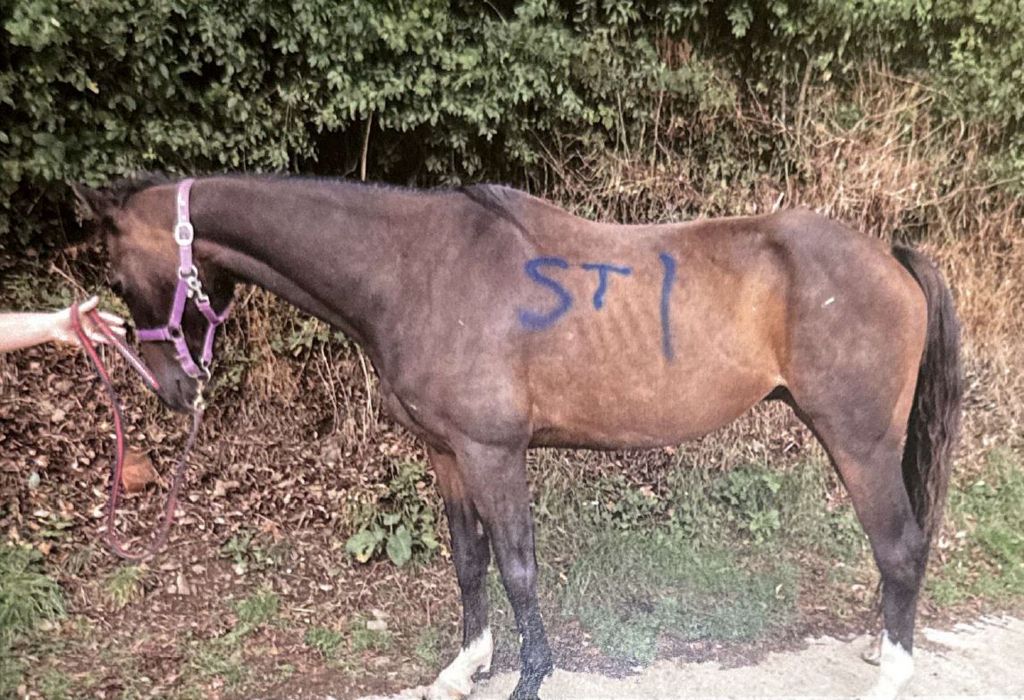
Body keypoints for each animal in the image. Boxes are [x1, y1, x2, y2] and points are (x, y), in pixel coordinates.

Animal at [72, 176, 958, 700]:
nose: (172, 388)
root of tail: (889, 256)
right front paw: (464, 669)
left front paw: (529, 680)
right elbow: (469, 564)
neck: (415, 269)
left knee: (899, 546)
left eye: (116, 274)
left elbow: (519, 567)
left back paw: (891, 676)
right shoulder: (446, 453)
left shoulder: (493, 452)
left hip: (859, 442)